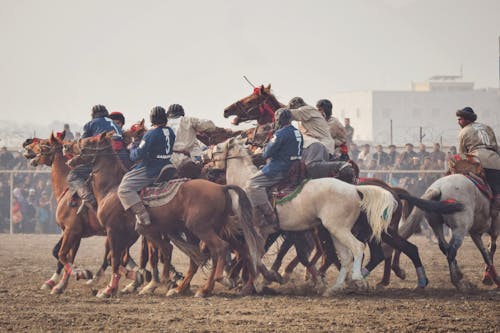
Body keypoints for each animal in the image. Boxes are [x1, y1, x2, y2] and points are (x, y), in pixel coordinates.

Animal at [65, 132, 266, 296]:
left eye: (88, 141)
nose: (68, 151)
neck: (112, 189)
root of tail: (221, 187)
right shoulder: (134, 233)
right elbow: (142, 254)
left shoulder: (114, 230)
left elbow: (115, 258)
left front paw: (109, 289)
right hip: (208, 229)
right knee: (221, 253)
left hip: (201, 229)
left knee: (220, 249)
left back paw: (215, 283)